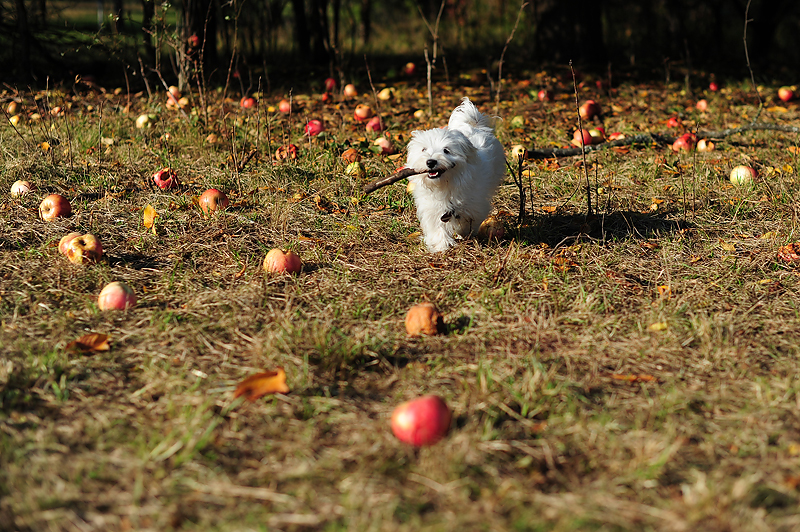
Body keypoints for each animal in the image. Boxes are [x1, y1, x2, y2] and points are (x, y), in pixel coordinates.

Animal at [406, 97, 506, 252]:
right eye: (423, 149)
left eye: (446, 150)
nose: (430, 162)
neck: (444, 183)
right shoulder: (432, 208)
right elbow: (436, 226)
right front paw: (441, 245)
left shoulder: (474, 205)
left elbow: (468, 221)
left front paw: (461, 234)